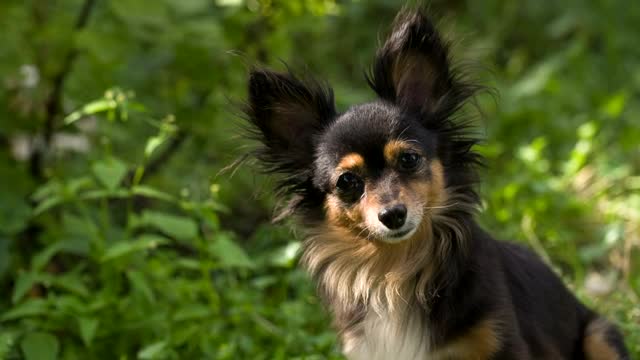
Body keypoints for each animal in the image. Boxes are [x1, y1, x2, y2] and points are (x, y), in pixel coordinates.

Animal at [242, 6, 628, 360]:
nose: (393, 215)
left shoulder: (502, 343)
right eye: (347, 181)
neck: (395, 271)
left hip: (599, 333)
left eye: (409, 159)